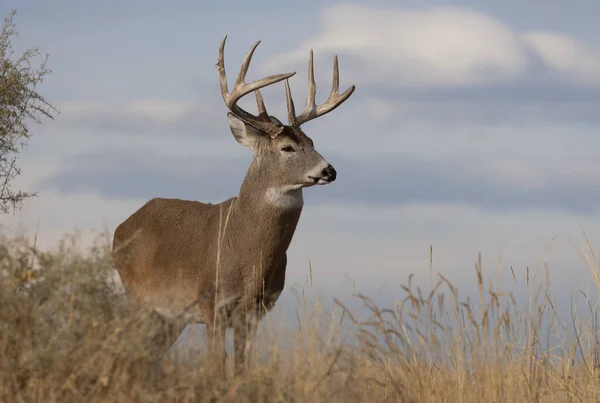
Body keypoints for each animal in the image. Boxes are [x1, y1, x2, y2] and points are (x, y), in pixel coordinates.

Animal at [112, 36, 354, 374]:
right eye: (287, 147)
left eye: (312, 143)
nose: (329, 171)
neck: (243, 249)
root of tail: (120, 228)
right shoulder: (210, 303)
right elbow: (217, 365)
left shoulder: (255, 312)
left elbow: (242, 368)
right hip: (137, 294)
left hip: (169, 315)